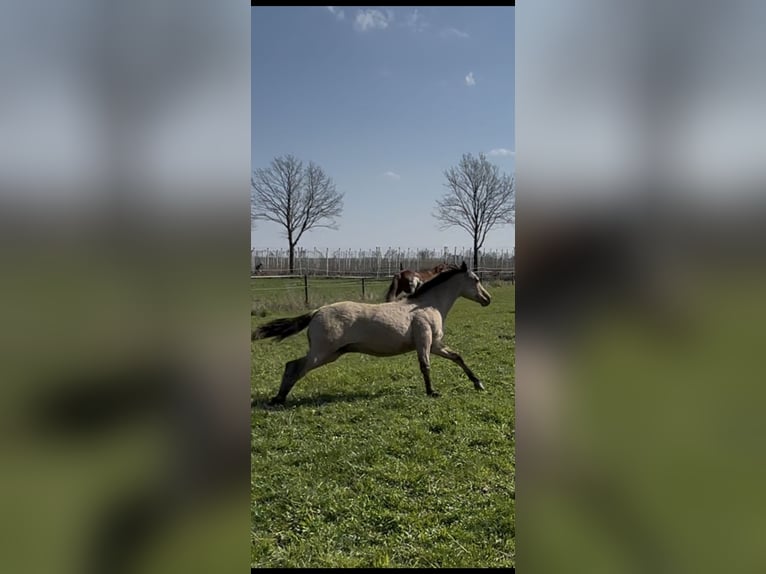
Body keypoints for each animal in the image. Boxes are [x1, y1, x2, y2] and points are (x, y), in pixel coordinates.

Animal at [251, 261, 491, 406]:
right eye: (476, 280)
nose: (487, 299)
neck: (426, 305)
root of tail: (317, 311)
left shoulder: (435, 344)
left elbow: (457, 357)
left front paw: (478, 383)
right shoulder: (424, 341)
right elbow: (425, 366)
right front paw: (432, 392)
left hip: (331, 354)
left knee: (292, 366)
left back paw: (279, 398)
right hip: (322, 353)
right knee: (294, 366)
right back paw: (278, 399)